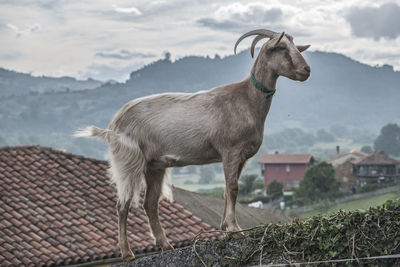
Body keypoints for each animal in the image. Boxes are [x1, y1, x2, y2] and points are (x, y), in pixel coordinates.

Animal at [74, 28, 312, 262]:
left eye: (295, 46)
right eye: (280, 48)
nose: (306, 70)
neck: (246, 99)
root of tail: (113, 126)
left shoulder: (240, 158)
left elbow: (227, 190)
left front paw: (226, 228)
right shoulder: (230, 151)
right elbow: (233, 188)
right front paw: (234, 229)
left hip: (154, 166)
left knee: (150, 203)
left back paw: (165, 245)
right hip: (129, 161)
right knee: (122, 204)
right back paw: (127, 252)